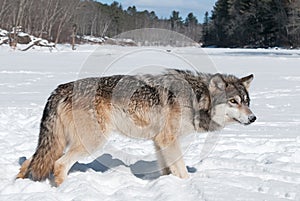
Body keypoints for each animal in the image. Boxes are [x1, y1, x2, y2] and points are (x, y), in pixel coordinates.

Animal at [16, 69, 255, 185]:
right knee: (59, 165)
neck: (196, 99)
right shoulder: (169, 141)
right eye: (234, 101)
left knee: (31, 162)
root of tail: (60, 88)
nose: (253, 118)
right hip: (91, 143)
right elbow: (182, 171)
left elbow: (168, 169)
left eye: (246, 101)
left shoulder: (159, 142)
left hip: (59, 143)